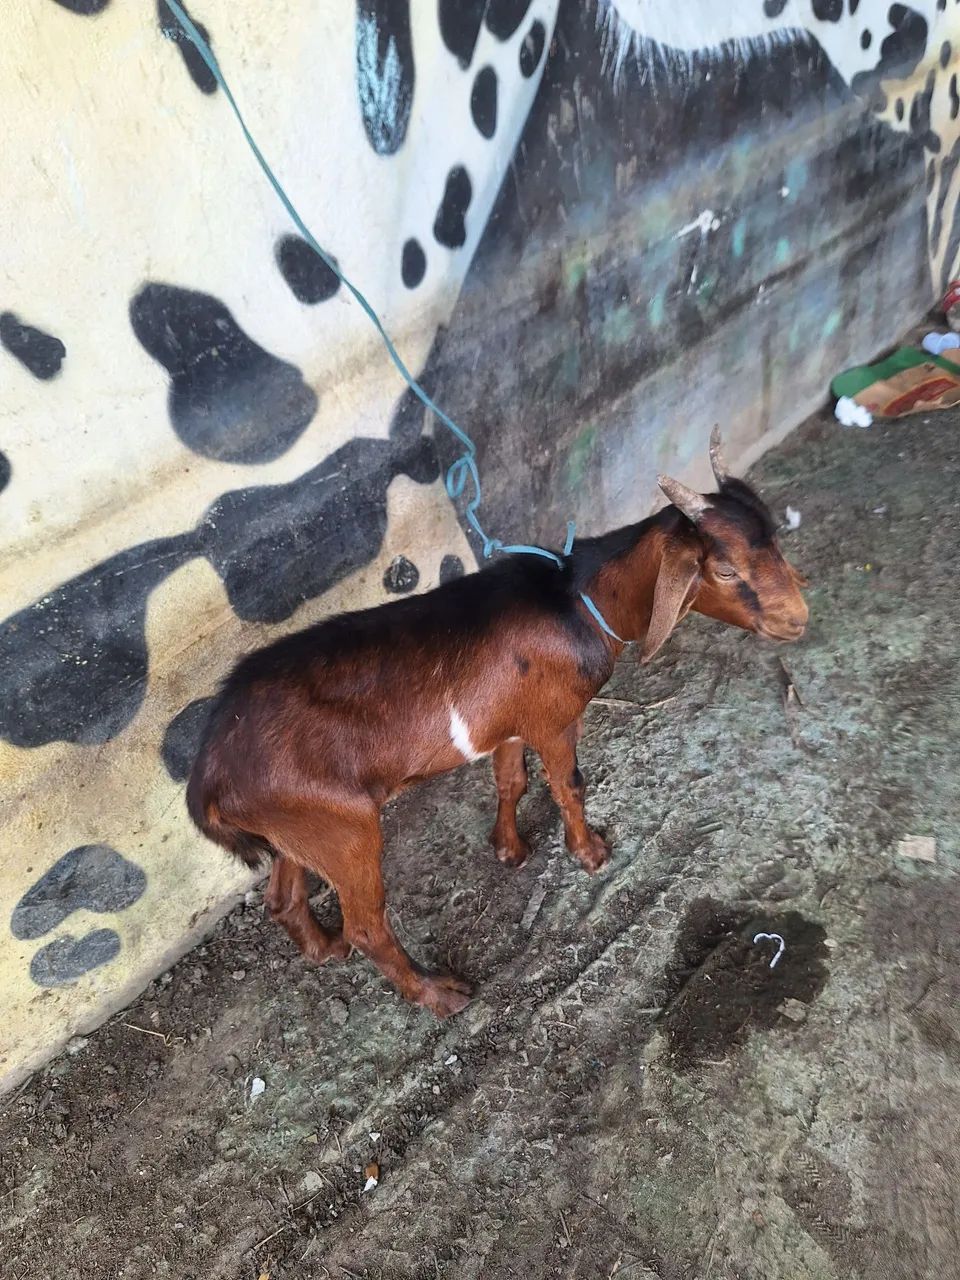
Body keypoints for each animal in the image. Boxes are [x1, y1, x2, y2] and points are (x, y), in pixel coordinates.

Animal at [187, 430, 808, 1017]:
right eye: (723, 569)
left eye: (776, 539)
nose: (798, 620)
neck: (577, 598)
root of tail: (209, 770)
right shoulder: (555, 720)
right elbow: (568, 785)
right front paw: (590, 854)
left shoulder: (510, 723)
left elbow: (512, 781)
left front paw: (509, 851)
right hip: (343, 830)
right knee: (367, 926)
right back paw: (439, 995)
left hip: (293, 830)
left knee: (283, 898)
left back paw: (324, 950)